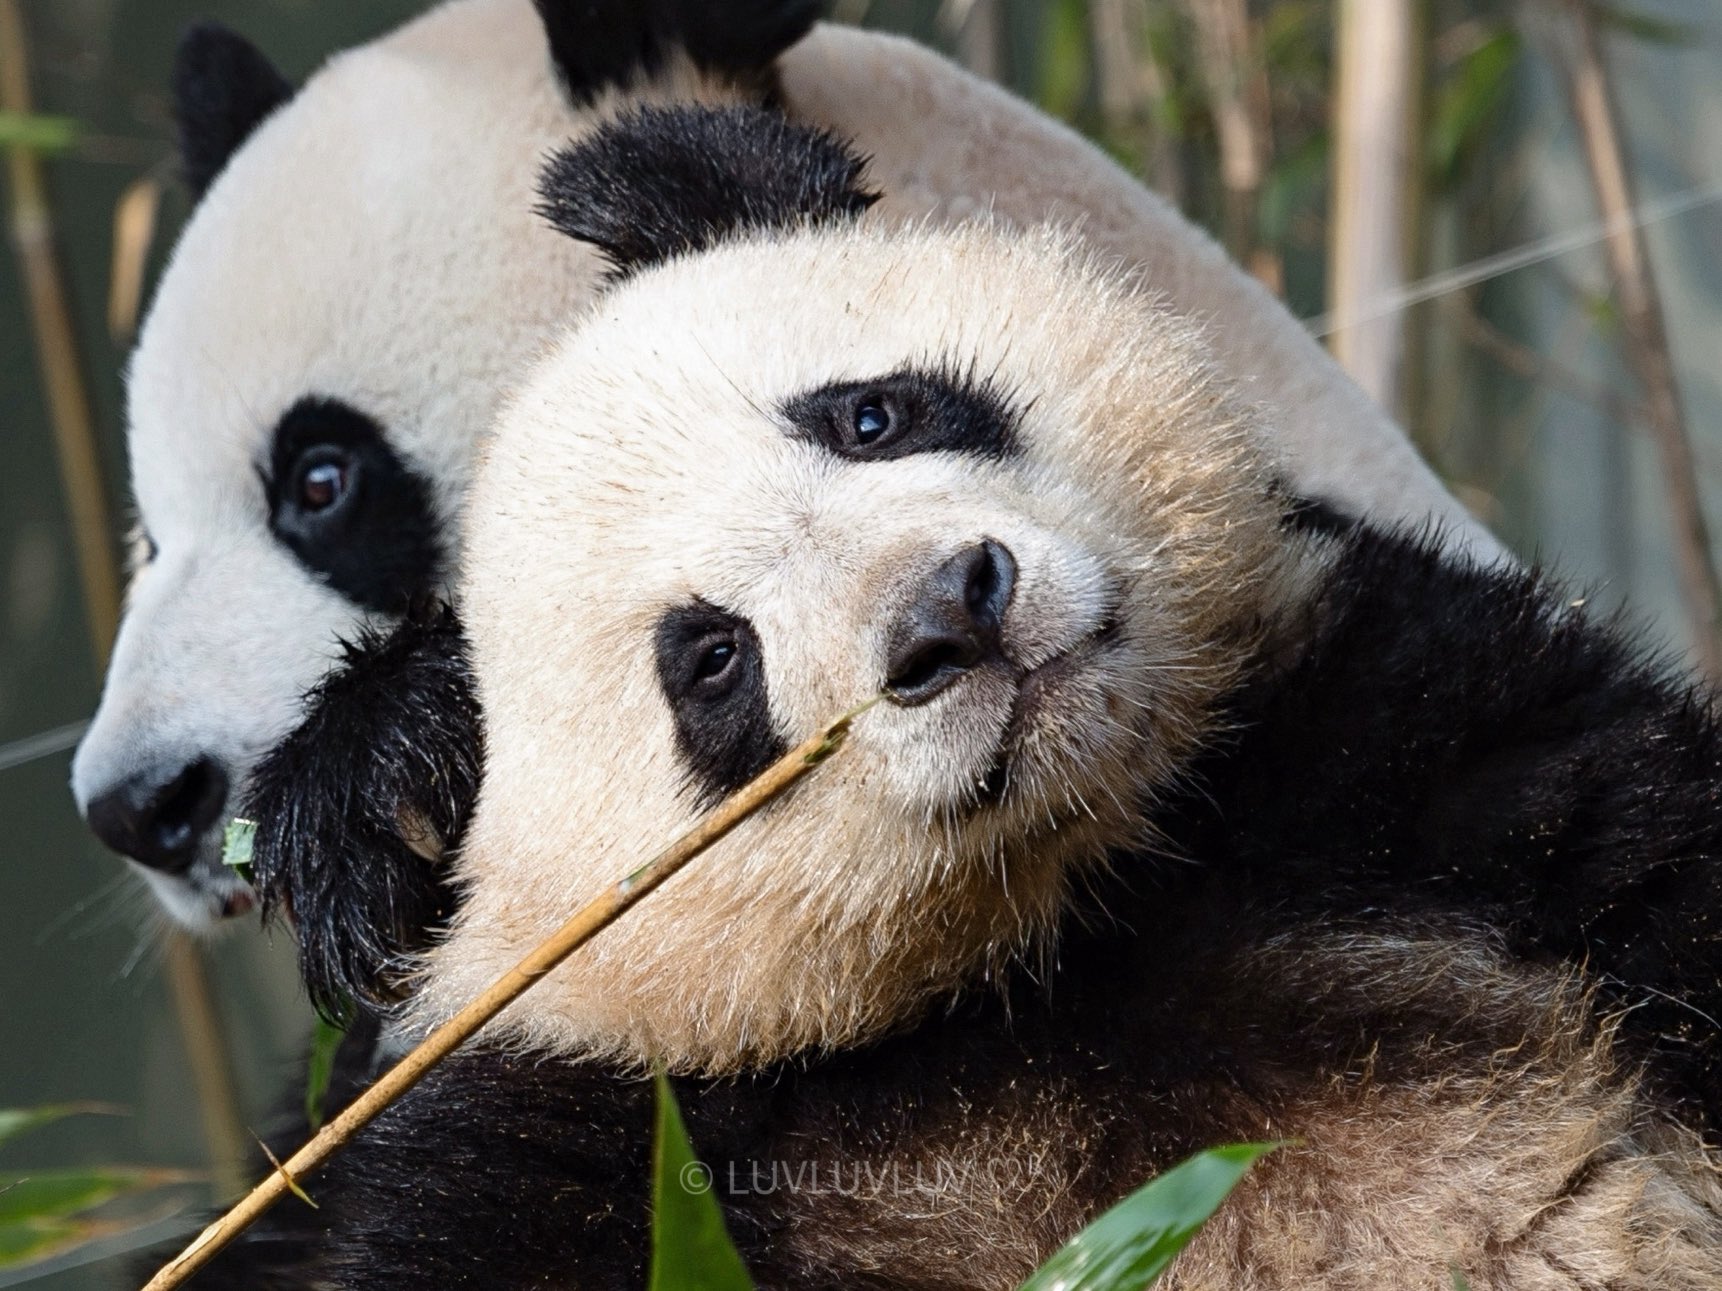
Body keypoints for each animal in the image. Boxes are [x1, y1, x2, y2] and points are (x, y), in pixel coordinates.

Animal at [185, 103, 1722, 1291]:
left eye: (871, 415)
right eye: (712, 663)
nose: (949, 613)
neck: (1057, 933)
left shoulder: (1387, 721)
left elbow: (1653, 855)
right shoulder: (597, 1120)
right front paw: (378, 778)